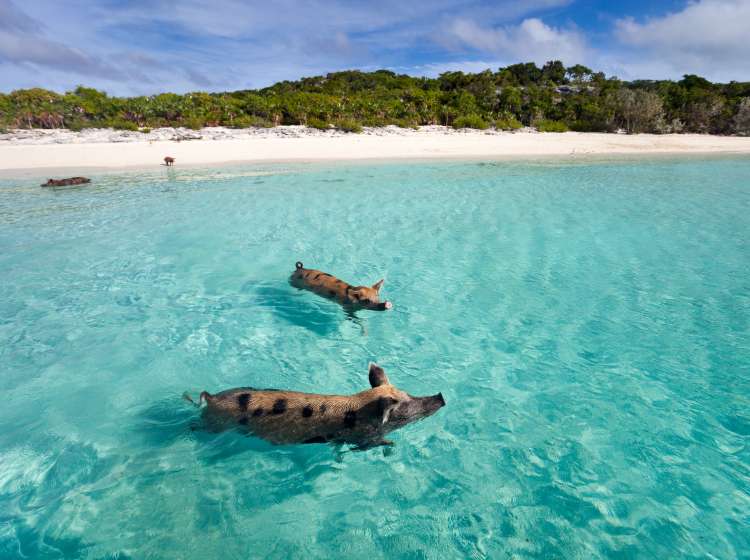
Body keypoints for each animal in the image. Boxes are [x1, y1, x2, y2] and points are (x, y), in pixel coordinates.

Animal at [188, 364, 446, 450]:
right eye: (406, 406)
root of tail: (210, 397)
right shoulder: (362, 437)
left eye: (408, 393)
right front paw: (391, 444)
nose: (441, 396)